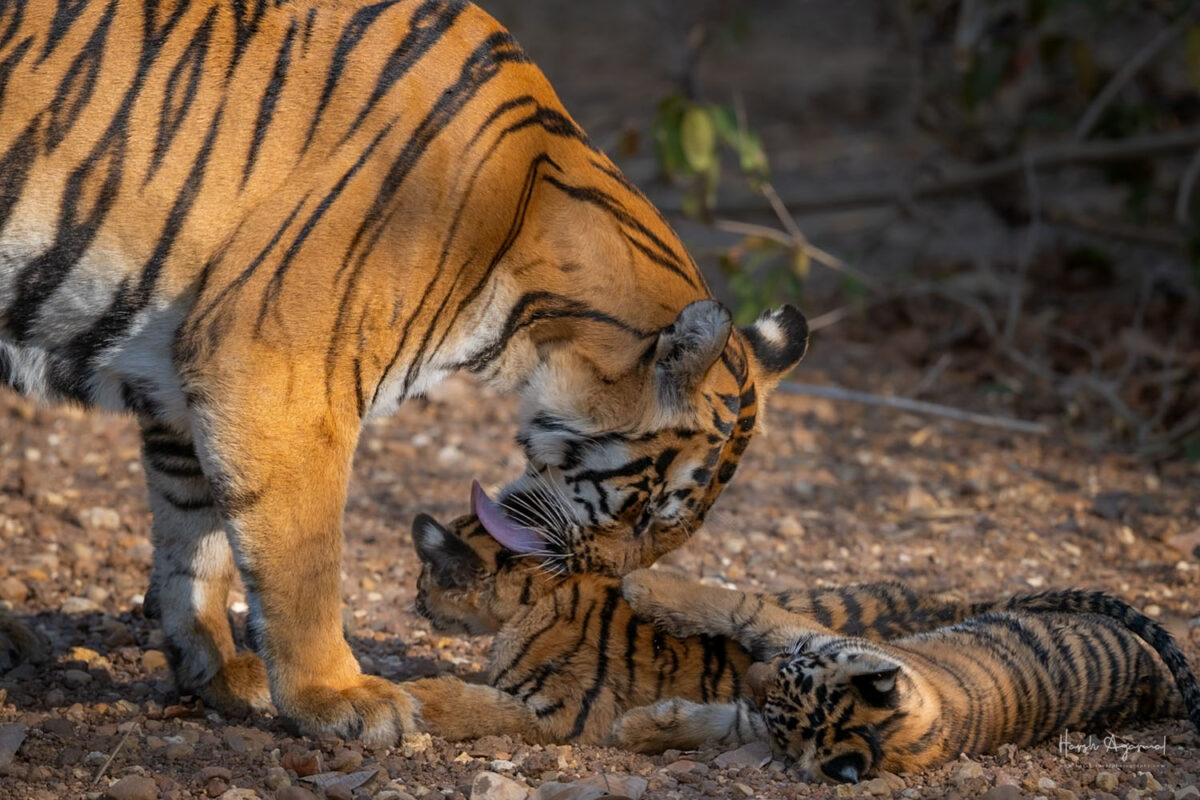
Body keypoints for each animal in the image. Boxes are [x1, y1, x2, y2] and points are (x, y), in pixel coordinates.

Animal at [0, 0, 809, 744]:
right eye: (645, 511)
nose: (606, 583)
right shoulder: (276, 370)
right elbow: (300, 558)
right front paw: (336, 695)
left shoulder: (179, 378)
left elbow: (193, 536)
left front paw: (219, 670)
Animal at [399, 506, 1003, 746]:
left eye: (424, 577)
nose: (413, 601)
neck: (538, 593)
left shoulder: (572, 715)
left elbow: (487, 708)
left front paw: (423, 696)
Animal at [616, 569, 1200, 783]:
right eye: (793, 660)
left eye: (775, 702)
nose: (757, 670)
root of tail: (1152, 685)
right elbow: (728, 606)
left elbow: (737, 616)